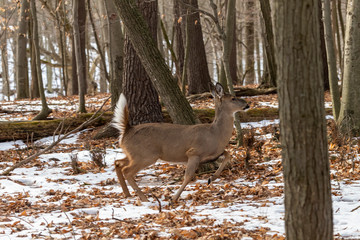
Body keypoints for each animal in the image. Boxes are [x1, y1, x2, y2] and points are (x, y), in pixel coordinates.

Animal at [112, 83, 248, 202]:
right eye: (233, 98)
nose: (247, 104)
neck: (216, 134)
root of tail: (126, 131)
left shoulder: (214, 153)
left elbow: (228, 154)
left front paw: (211, 178)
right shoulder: (194, 152)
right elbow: (188, 176)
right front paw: (173, 198)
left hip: (135, 154)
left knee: (118, 163)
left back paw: (128, 194)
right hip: (146, 155)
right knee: (127, 171)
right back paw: (144, 198)